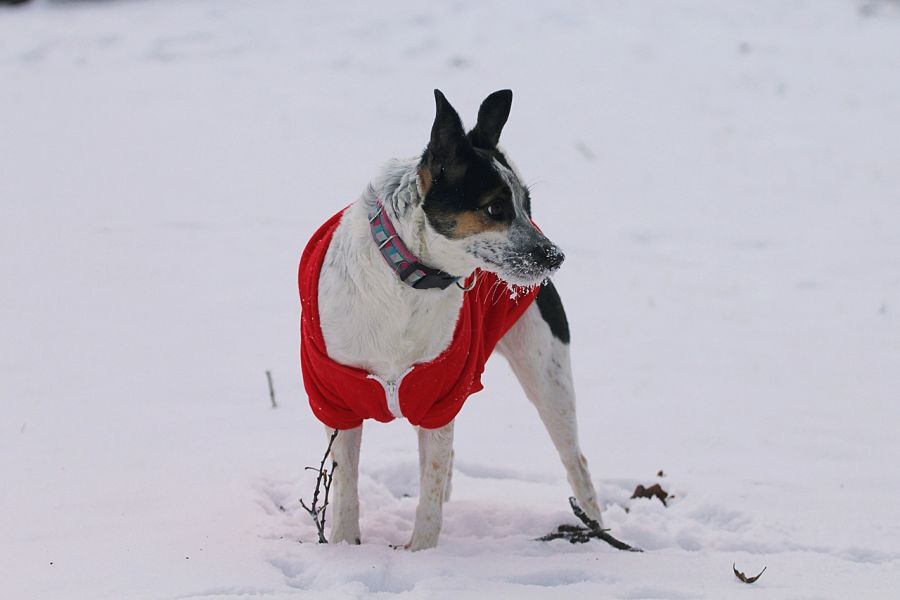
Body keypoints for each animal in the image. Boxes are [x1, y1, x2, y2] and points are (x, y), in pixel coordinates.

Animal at [298, 90, 600, 552]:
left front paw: (421, 552)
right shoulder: (337, 398)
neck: (407, 285)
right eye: (495, 207)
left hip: (548, 376)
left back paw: (600, 532)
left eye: (527, 207)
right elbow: (347, 488)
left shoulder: (438, 395)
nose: (555, 256)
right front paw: (346, 548)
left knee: (577, 461)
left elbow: (431, 489)